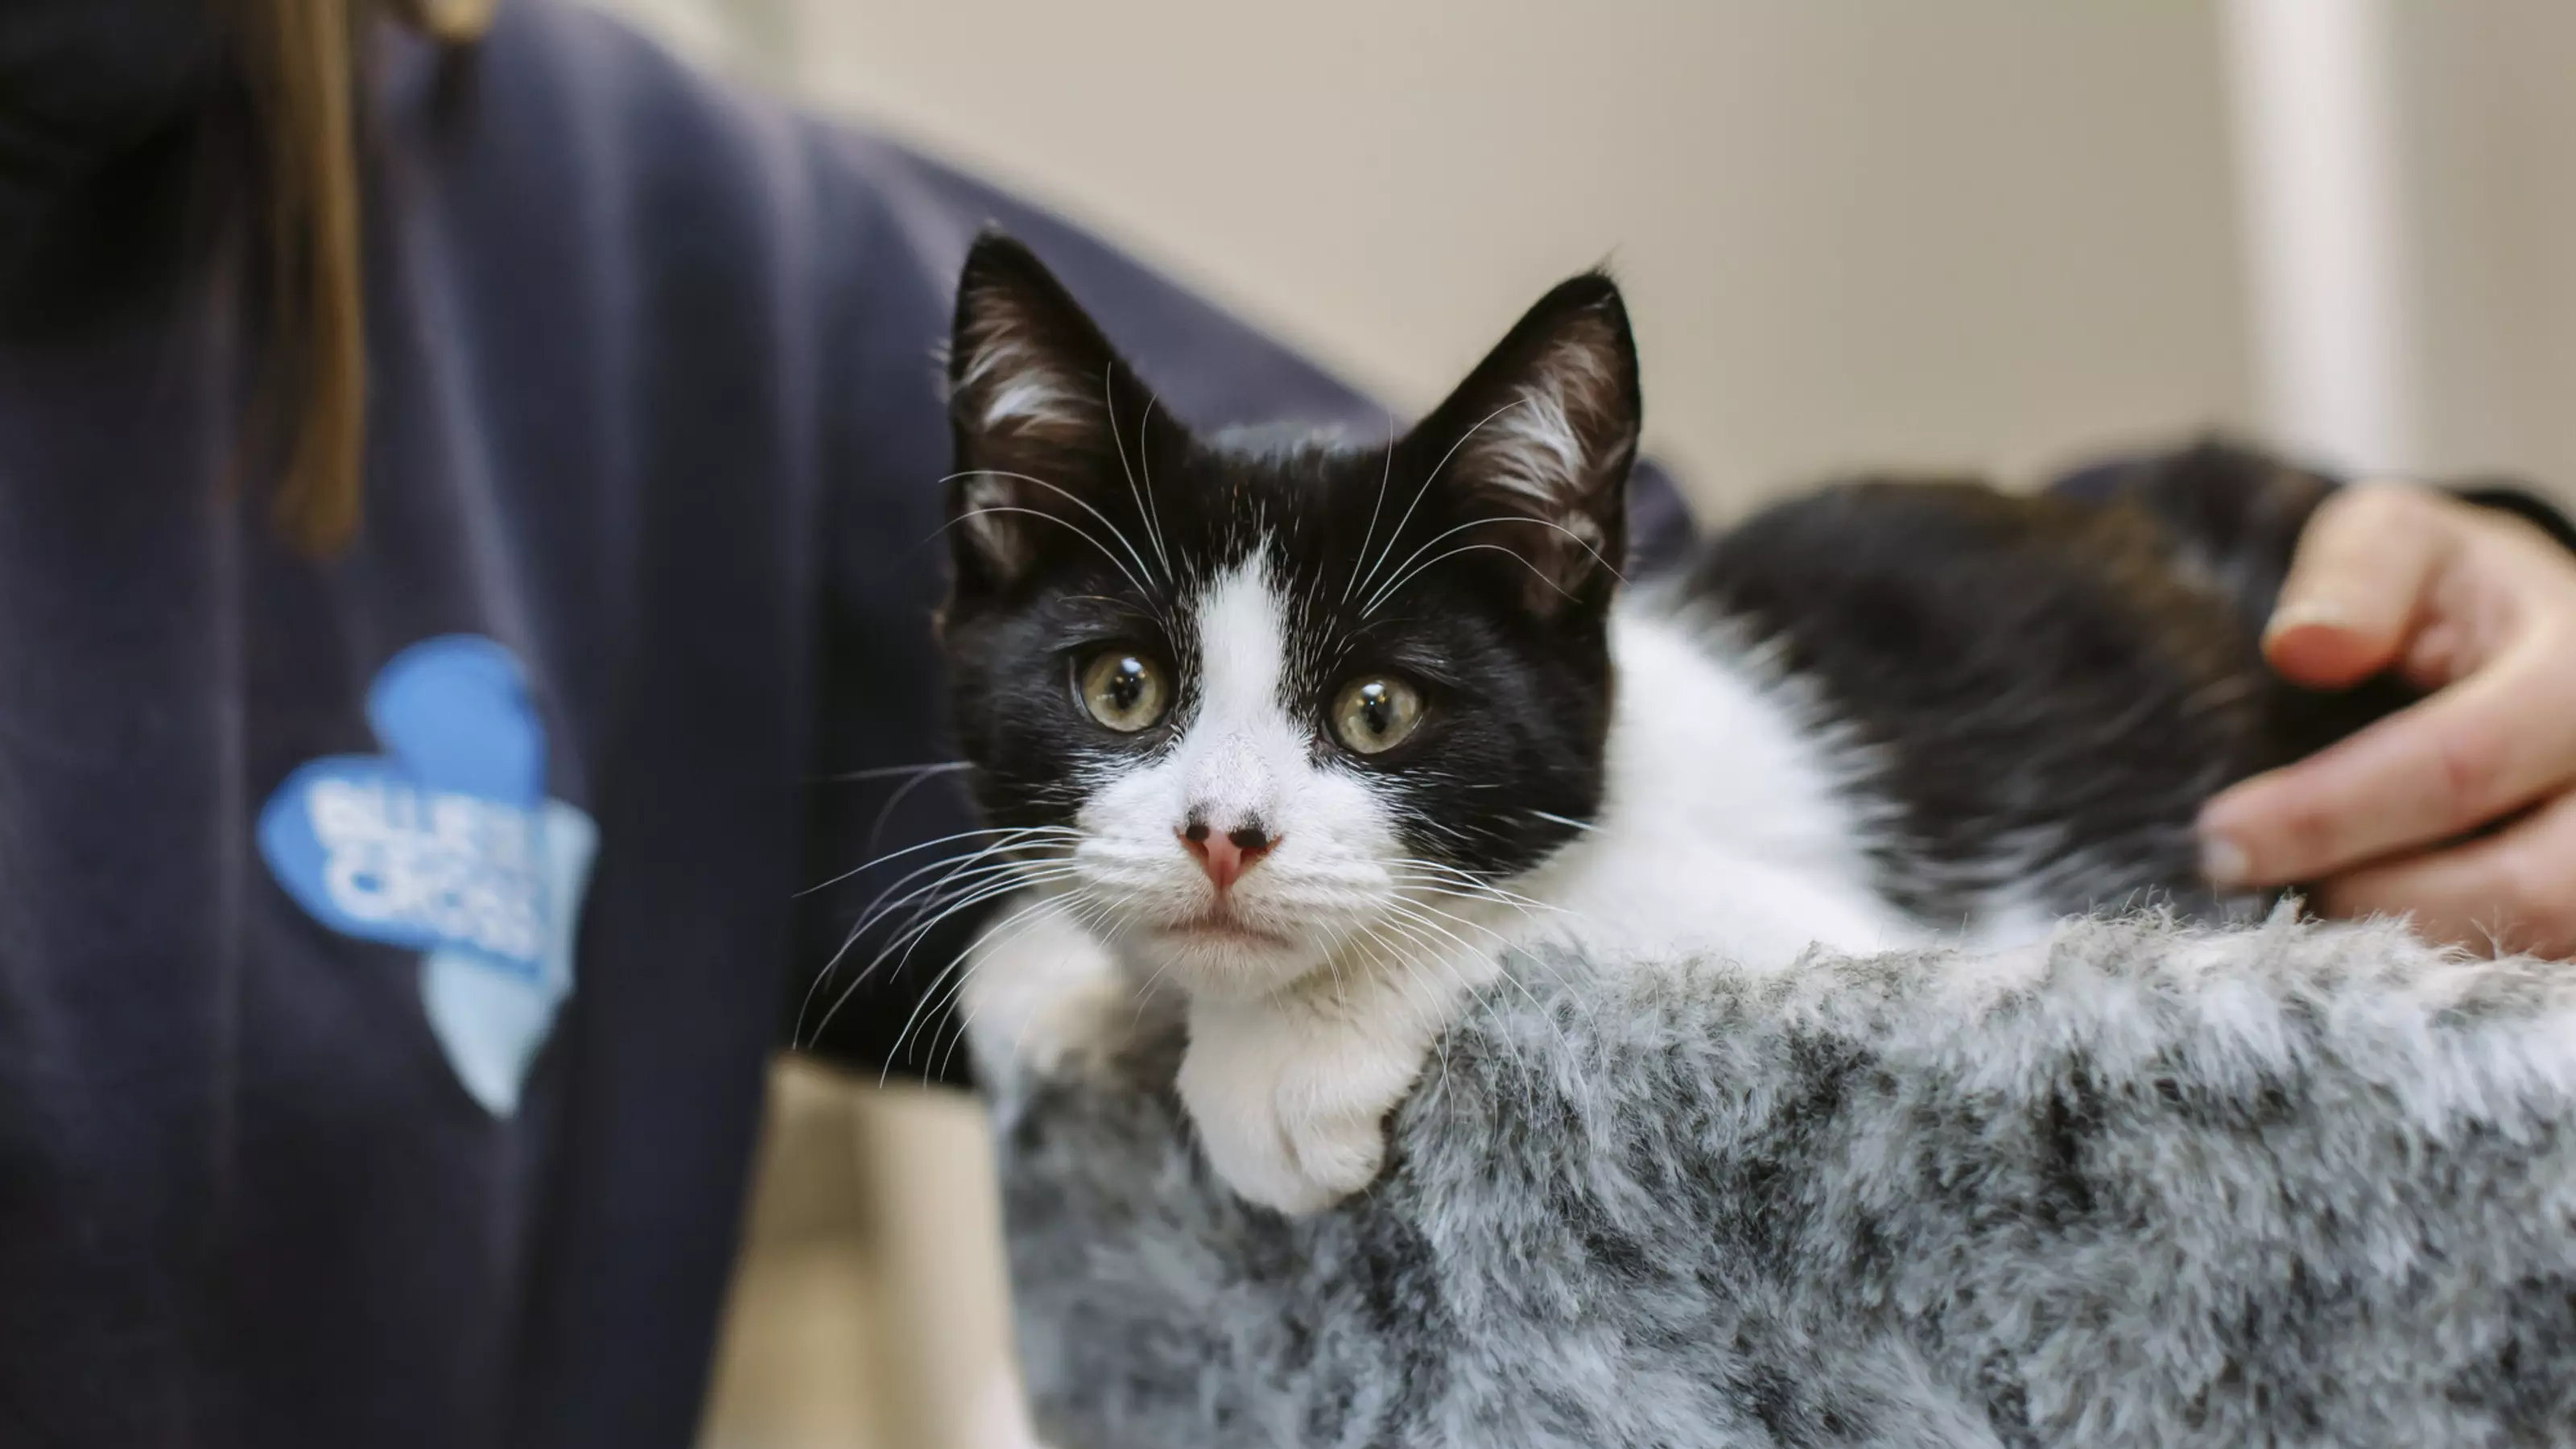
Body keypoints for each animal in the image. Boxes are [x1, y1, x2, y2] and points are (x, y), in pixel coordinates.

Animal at [932, 234, 2390, 1206]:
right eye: (1123, 688)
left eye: (1378, 710)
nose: (1222, 835)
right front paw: (1042, 969)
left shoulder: (1878, 936)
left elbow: (1592, 897)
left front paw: (1286, 1056)